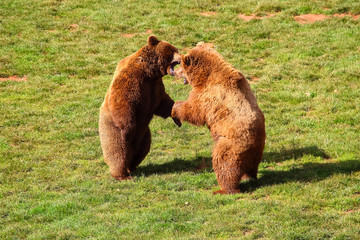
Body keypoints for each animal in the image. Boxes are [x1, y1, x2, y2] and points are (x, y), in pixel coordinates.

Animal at [98, 36, 181, 180]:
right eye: (172, 50)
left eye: (176, 49)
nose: (181, 57)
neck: (149, 72)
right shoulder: (132, 80)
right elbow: (122, 103)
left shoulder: (154, 86)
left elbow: (162, 102)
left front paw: (176, 116)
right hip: (111, 129)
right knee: (117, 152)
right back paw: (122, 175)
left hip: (144, 134)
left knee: (143, 149)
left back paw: (132, 167)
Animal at [170, 42, 266, 193]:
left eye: (181, 65)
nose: (174, 72)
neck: (205, 75)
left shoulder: (208, 94)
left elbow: (193, 110)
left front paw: (176, 108)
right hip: (257, 152)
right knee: (251, 167)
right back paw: (249, 177)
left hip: (230, 145)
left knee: (223, 164)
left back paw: (223, 190)